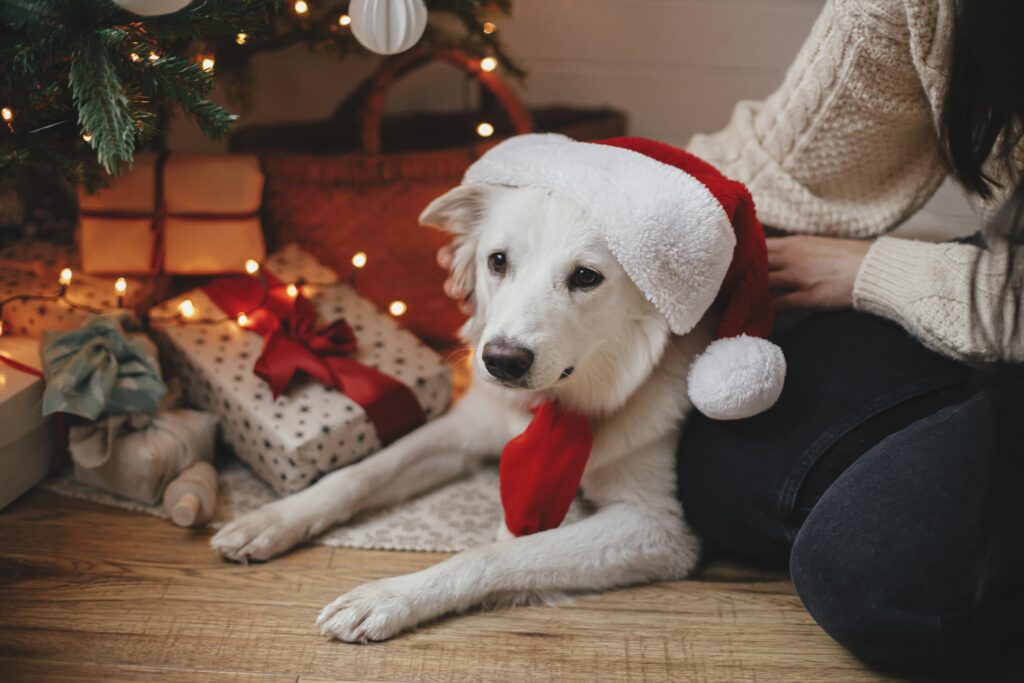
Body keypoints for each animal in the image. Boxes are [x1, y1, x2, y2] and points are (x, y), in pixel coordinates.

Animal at [209, 135, 782, 647]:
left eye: (586, 277)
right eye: (498, 261)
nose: (501, 362)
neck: (563, 400)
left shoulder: (657, 526)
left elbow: (494, 552)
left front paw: (388, 598)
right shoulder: (464, 429)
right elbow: (359, 473)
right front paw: (272, 518)